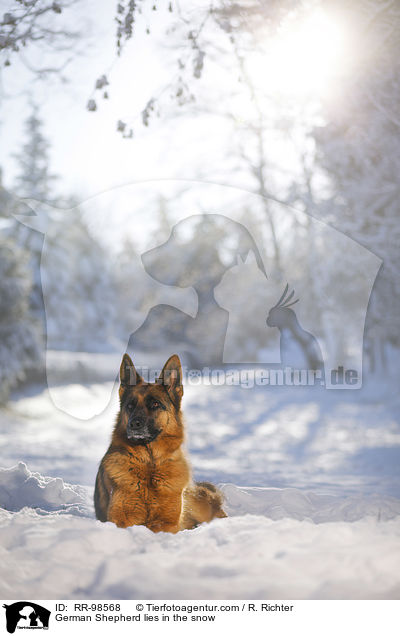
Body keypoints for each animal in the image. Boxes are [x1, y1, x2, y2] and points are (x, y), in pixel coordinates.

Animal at [93, 352, 225, 532]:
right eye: (130, 406)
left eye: (155, 404)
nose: (134, 424)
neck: (150, 464)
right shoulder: (121, 520)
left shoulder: (167, 522)